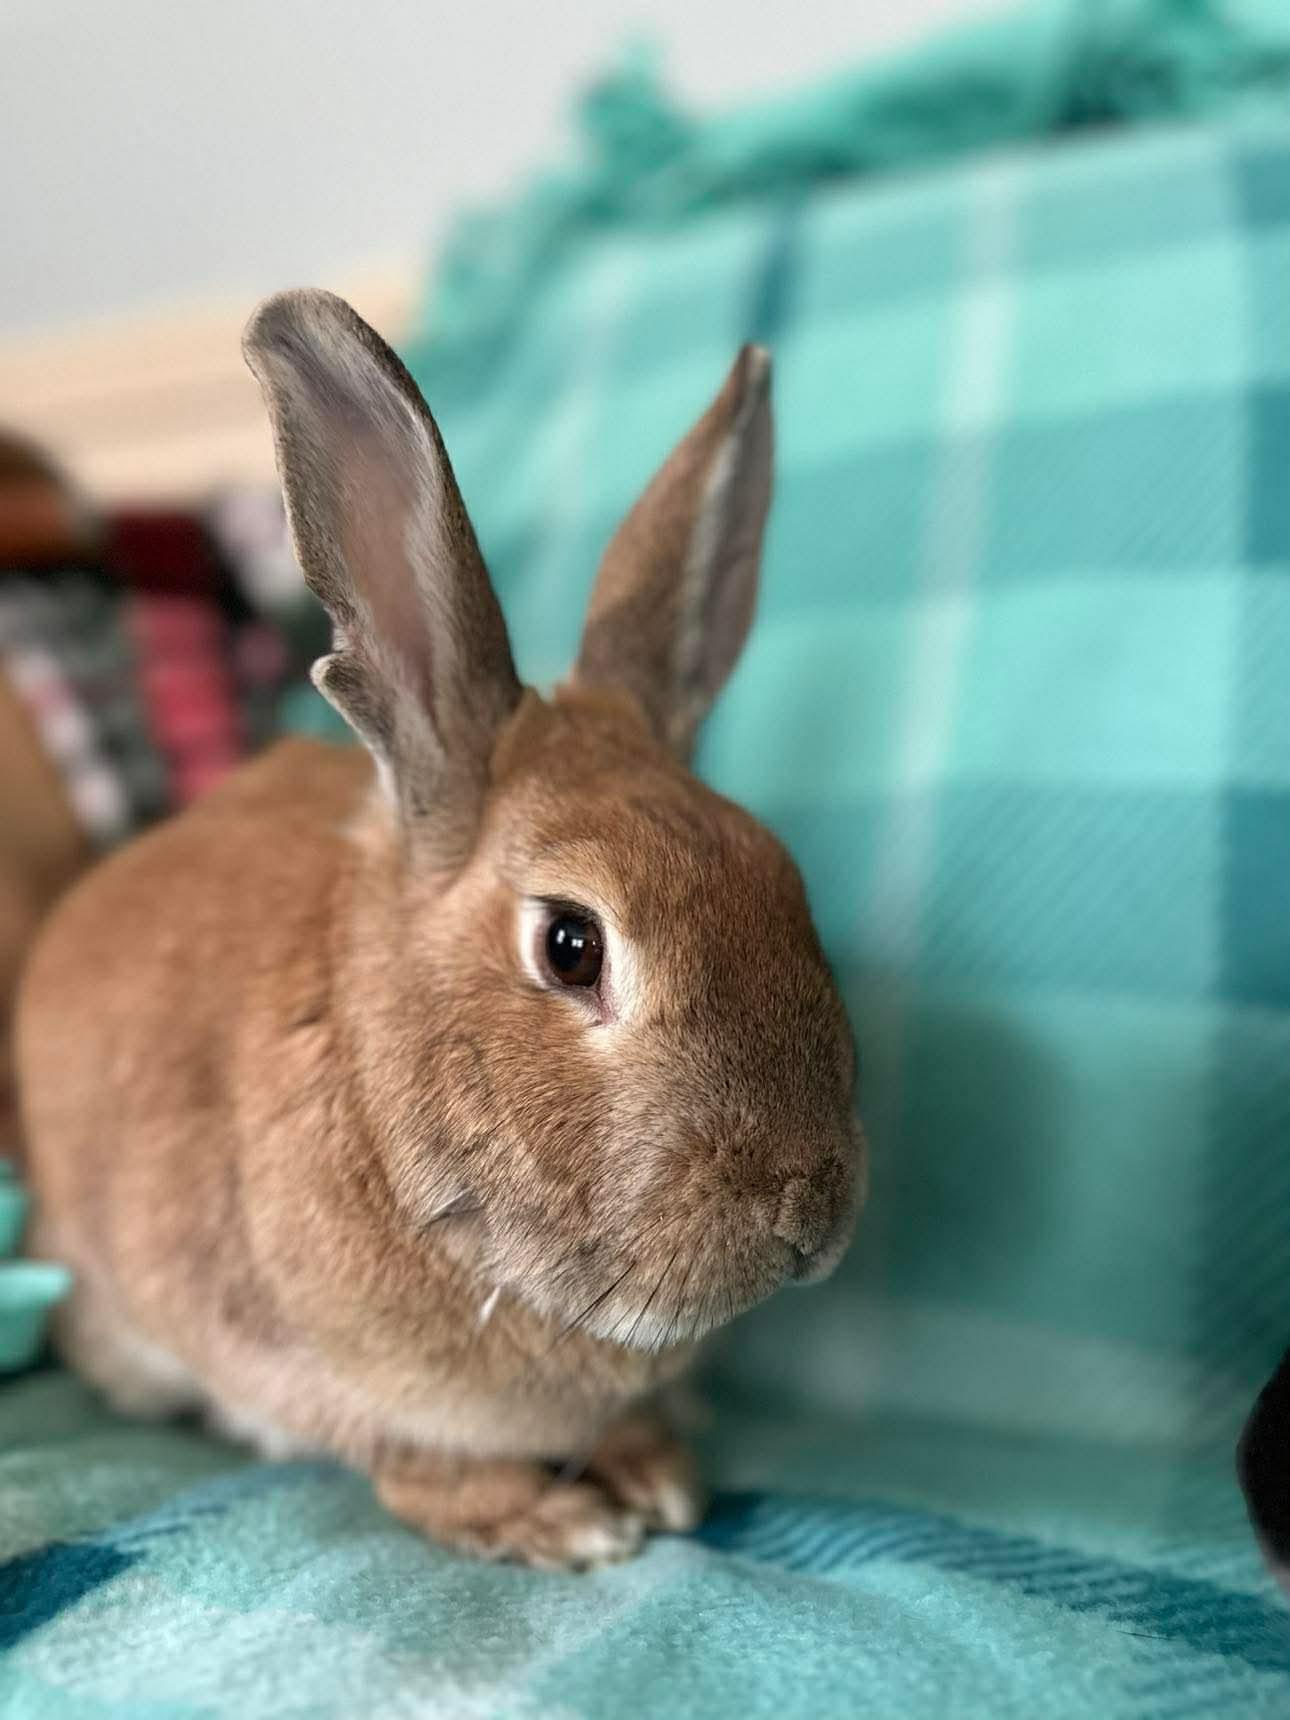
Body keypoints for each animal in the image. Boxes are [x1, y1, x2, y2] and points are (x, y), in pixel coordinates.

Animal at [17, 290, 864, 1570]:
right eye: (572, 944)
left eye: (784, 877)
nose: (811, 1210)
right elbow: (412, 1462)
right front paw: (557, 1519)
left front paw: (652, 1467)